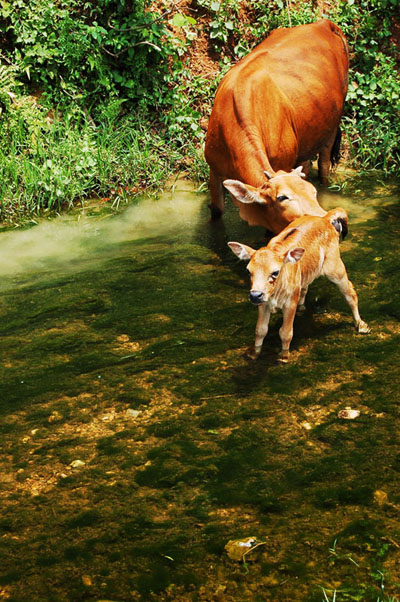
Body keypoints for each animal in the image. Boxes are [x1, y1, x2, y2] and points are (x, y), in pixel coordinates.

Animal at [205, 19, 348, 232]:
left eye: (312, 192)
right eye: (282, 197)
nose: (335, 222)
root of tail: (324, 23)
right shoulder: (214, 170)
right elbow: (216, 212)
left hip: (331, 127)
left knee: (323, 166)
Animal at [228, 209, 368, 364]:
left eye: (275, 272)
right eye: (248, 270)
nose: (254, 295)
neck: (275, 295)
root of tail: (324, 219)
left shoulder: (290, 303)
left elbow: (285, 332)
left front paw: (284, 356)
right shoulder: (263, 302)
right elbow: (260, 330)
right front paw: (255, 354)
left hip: (336, 268)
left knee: (350, 293)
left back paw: (361, 324)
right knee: (305, 288)